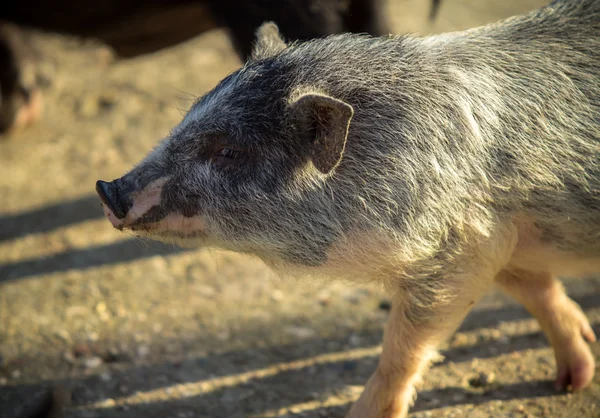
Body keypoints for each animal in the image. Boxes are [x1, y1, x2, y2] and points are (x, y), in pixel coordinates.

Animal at [96, 1, 596, 416]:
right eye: (189, 115)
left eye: (229, 151)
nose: (108, 189)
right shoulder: (500, 234)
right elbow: (538, 289)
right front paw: (572, 380)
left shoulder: (462, 248)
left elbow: (403, 349)